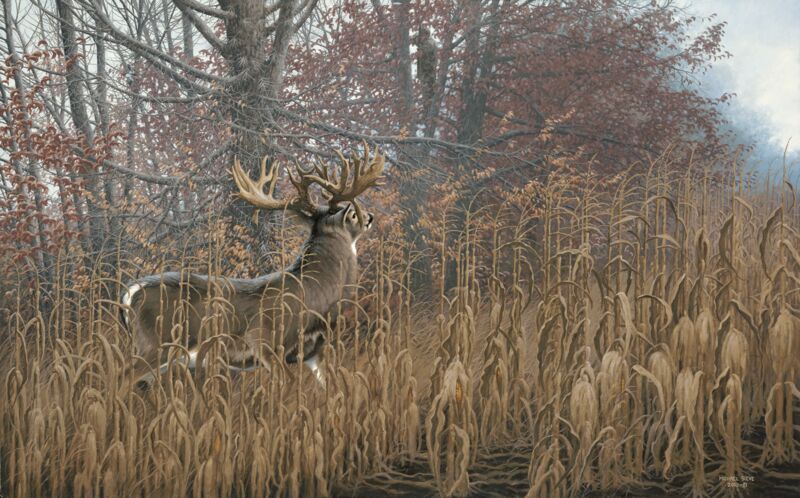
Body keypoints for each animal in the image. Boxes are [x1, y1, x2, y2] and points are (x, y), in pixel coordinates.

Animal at [121, 145, 384, 390]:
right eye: (353, 214)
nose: (370, 216)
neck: (316, 295)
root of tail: (130, 293)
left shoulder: (313, 352)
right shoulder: (263, 338)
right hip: (157, 345)